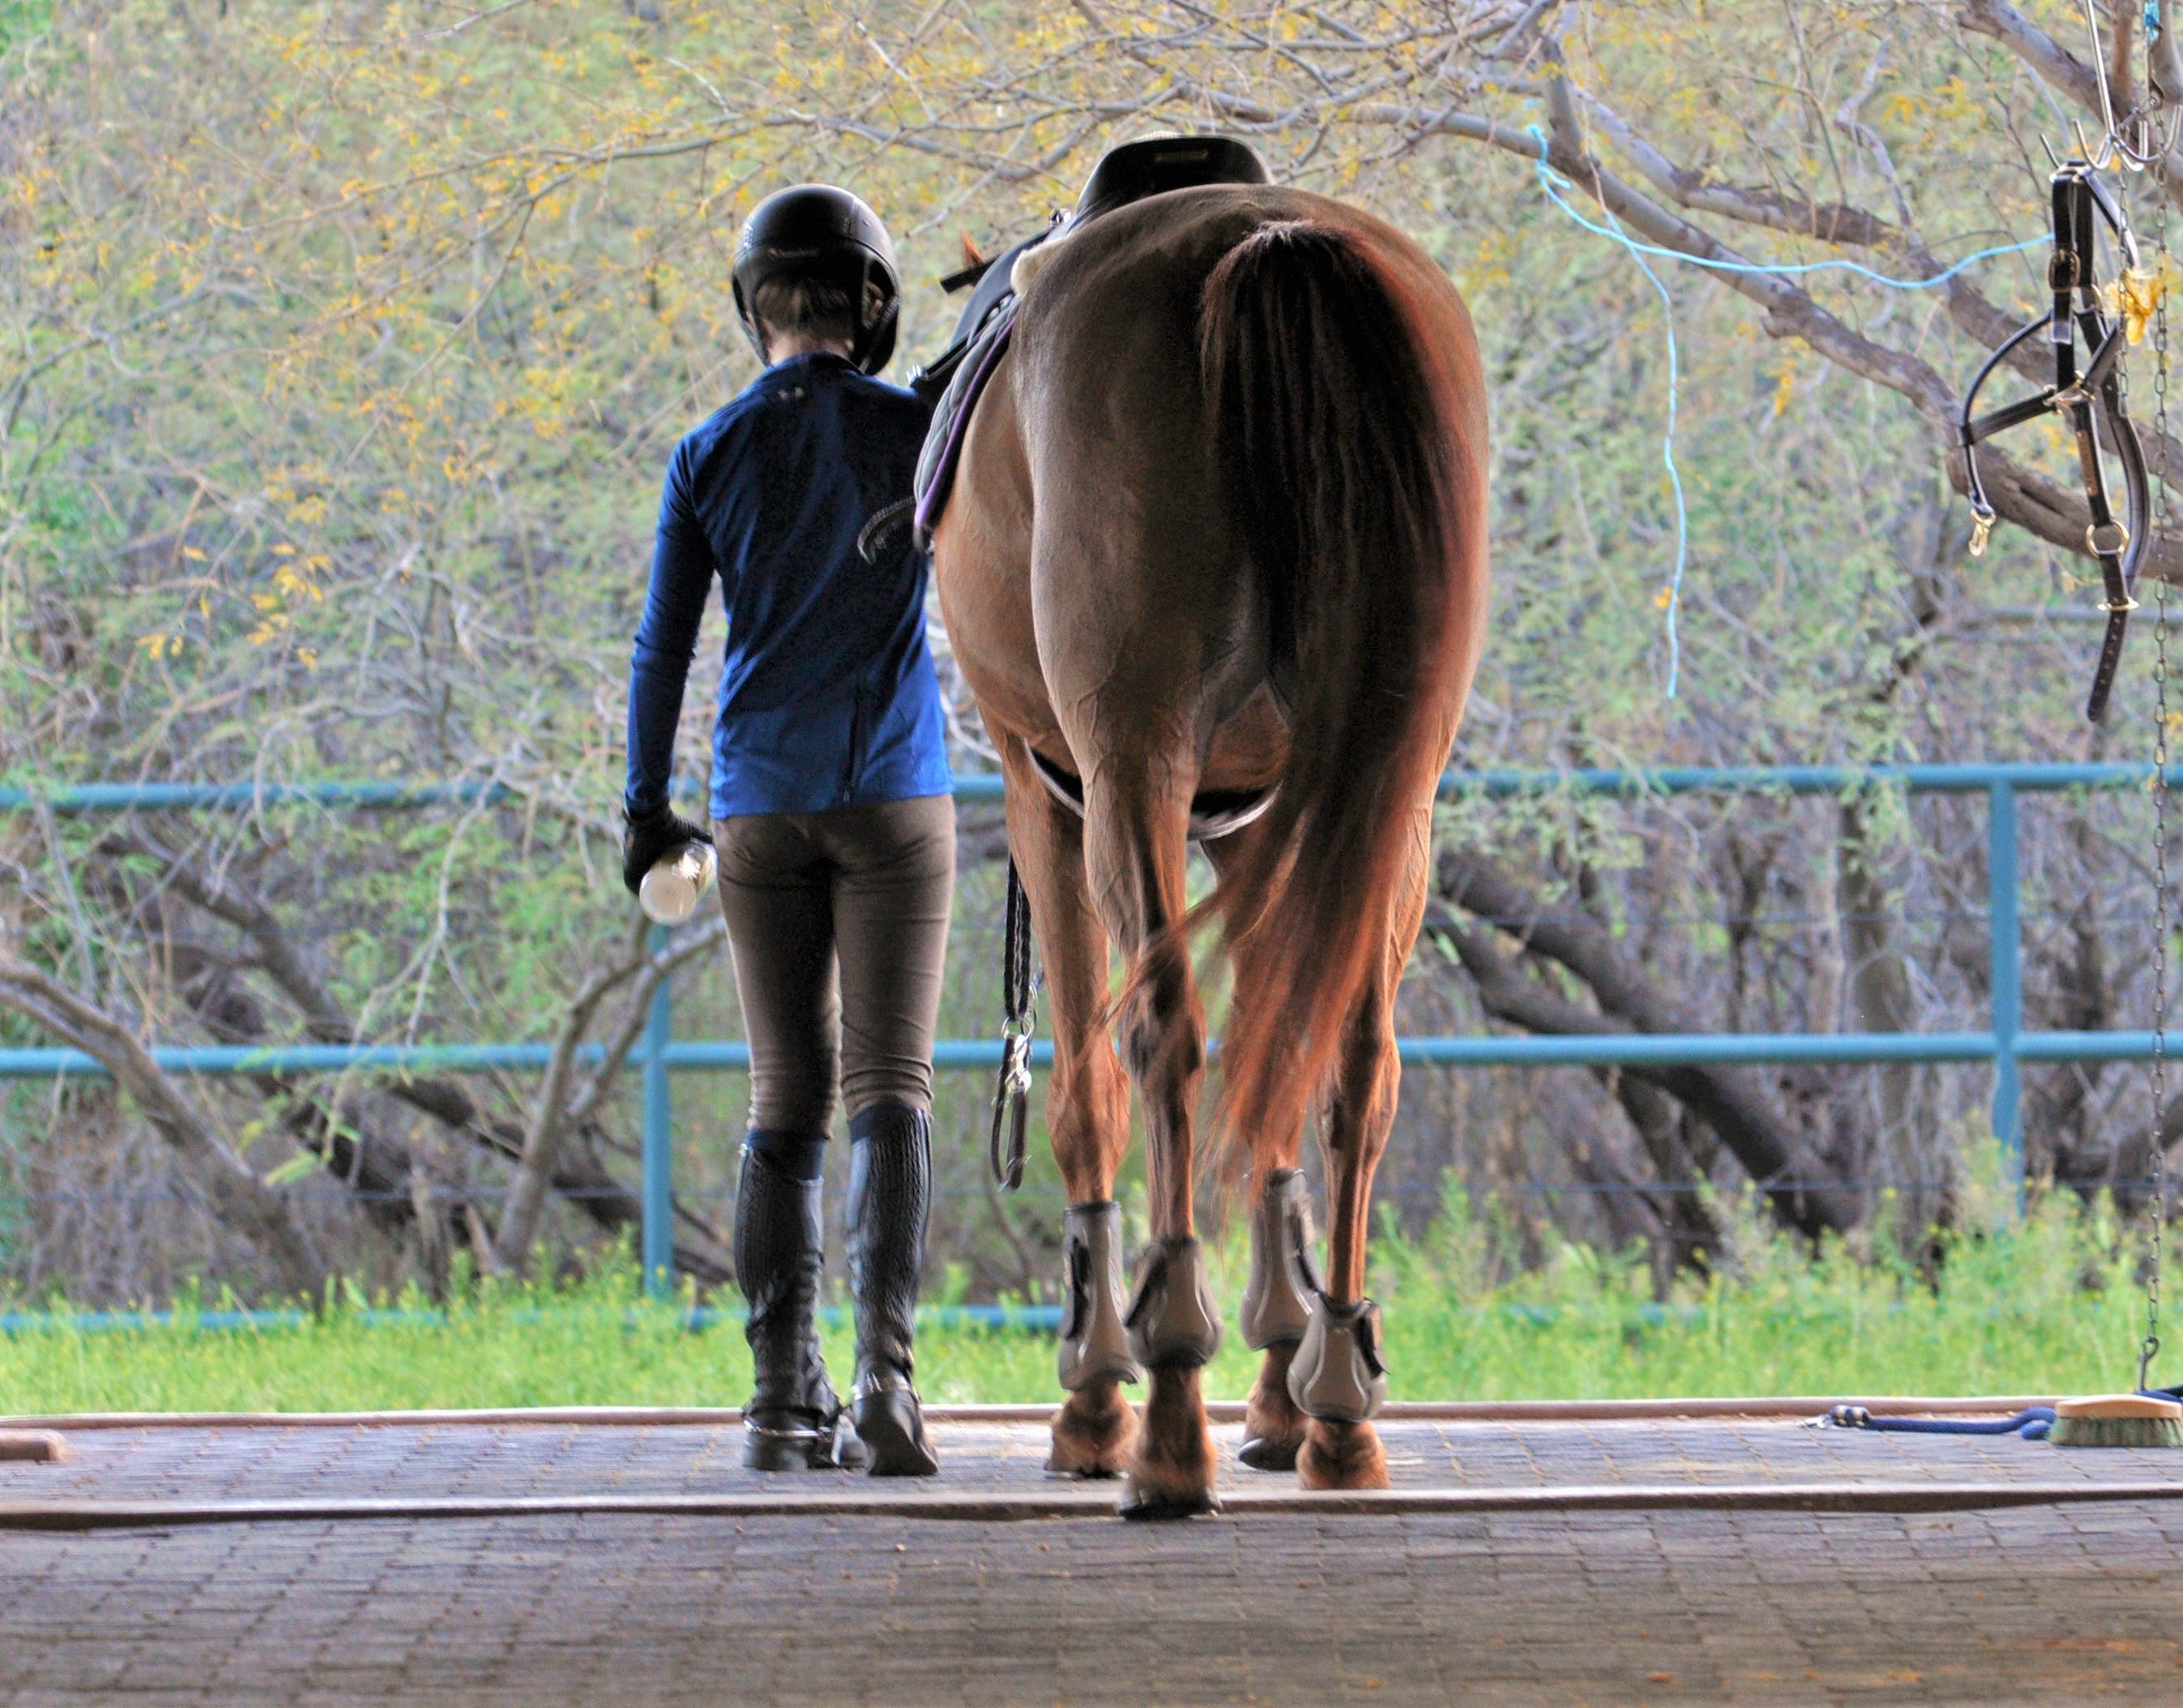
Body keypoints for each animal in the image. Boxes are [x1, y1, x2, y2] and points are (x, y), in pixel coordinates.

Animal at [929, 180, 1492, 1518]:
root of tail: (1265, 241)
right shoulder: (1266, 821)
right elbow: (1281, 1056)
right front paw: (1284, 1383)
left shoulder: (1050, 795)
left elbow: (1087, 1091)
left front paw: (1094, 1393)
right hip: (1392, 792)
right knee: (1357, 1062)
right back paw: (1339, 1406)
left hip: (1129, 771)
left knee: (1161, 1038)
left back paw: (1169, 1418)